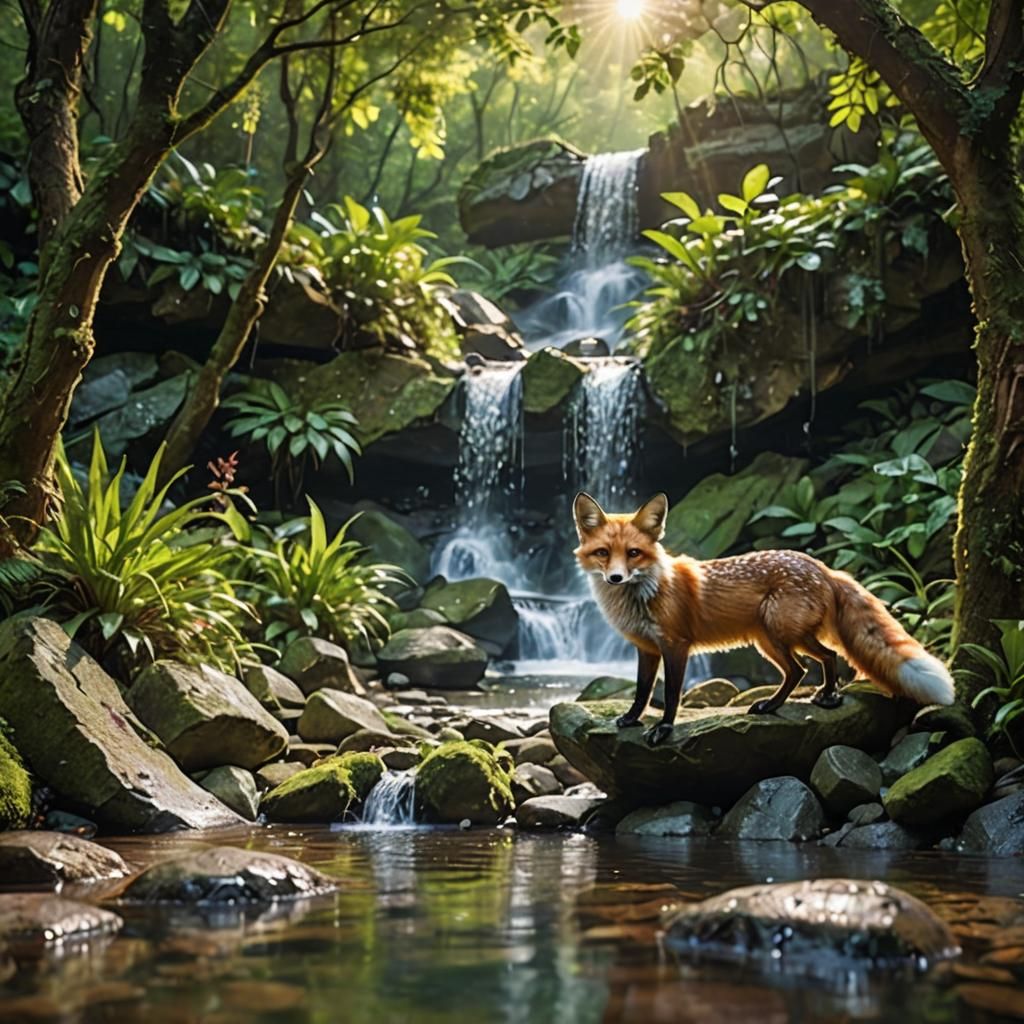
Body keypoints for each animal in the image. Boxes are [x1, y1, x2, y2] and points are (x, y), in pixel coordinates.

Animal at [573, 491, 956, 747]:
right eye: (603, 553)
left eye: (634, 553)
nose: (615, 578)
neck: (646, 594)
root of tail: (824, 568)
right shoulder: (648, 649)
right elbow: (641, 691)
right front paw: (631, 719)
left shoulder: (676, 645)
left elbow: (669, 695)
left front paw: (664, 729)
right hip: (770, 641)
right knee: (808, 666)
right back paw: (798, 700)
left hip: (781, 633)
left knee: (815, 661)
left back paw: (804, 700)